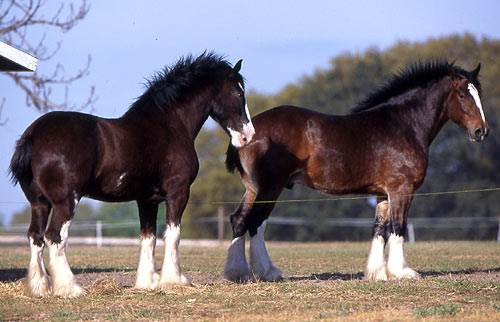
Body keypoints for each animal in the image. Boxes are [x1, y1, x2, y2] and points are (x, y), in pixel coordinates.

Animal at [9, 52, 256, 296]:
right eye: (238, 92)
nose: (248, 136)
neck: (170, 125)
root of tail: (33, 134)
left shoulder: (147, 201)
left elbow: (148, 238)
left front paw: (148, 282)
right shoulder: (178, 193)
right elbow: (173, 236)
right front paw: (174, 281)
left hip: (39, 203)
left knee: (35, 237)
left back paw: (41, 288)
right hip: (66, 201)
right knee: (54, 237)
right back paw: (70, 289)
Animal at [224, 59, 488, 282]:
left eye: (478, 94)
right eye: (462, 94)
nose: (481, 131)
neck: (404, 125)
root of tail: (246, 133)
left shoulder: (383, 194)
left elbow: (379, 230)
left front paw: (377, 273)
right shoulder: (402, 189)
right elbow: (398, 227)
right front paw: (401, 272)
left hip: (253, 189)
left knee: (239, 220)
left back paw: (238, 273)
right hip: (270, 187)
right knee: (256, 222)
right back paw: (268, 272)